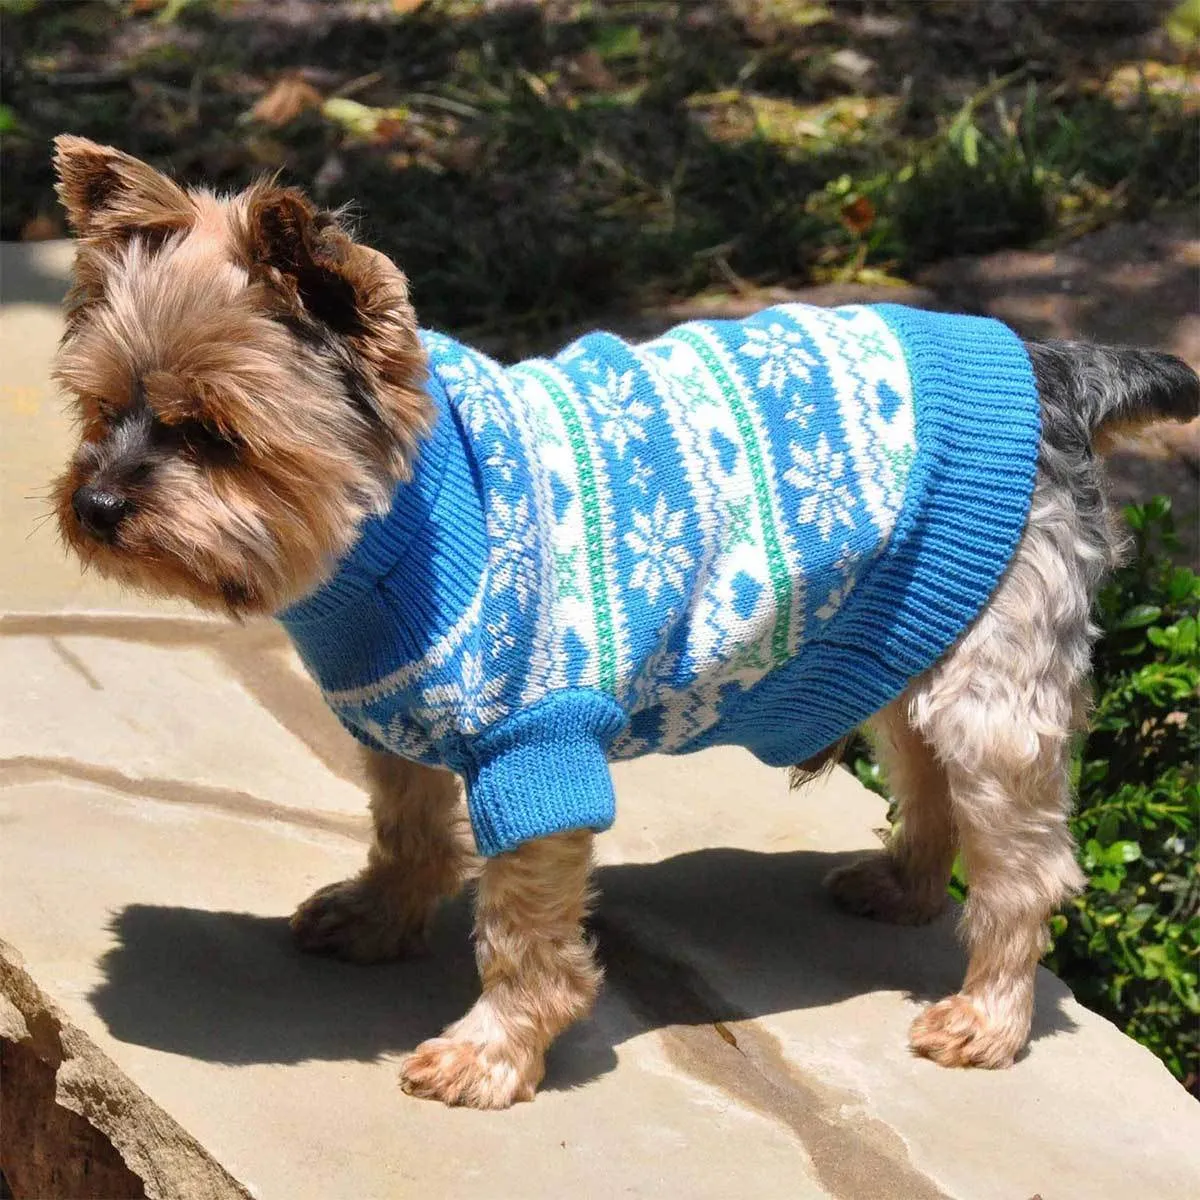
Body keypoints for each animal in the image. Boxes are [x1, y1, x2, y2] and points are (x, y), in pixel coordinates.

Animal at [49, 138, 1200, 1104]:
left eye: (214, 434)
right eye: (100, 410)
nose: (94, 505)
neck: (395, 533)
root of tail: (1054, 370)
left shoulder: (537, 742)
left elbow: (523, 933)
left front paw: (491, 1054)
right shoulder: (402, 717)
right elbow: (407, 826)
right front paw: (380, 919)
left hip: (989, 675)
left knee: (1025, 864)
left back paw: (986, 1018)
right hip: (909, 626)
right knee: (924, 775)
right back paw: (905, 890)